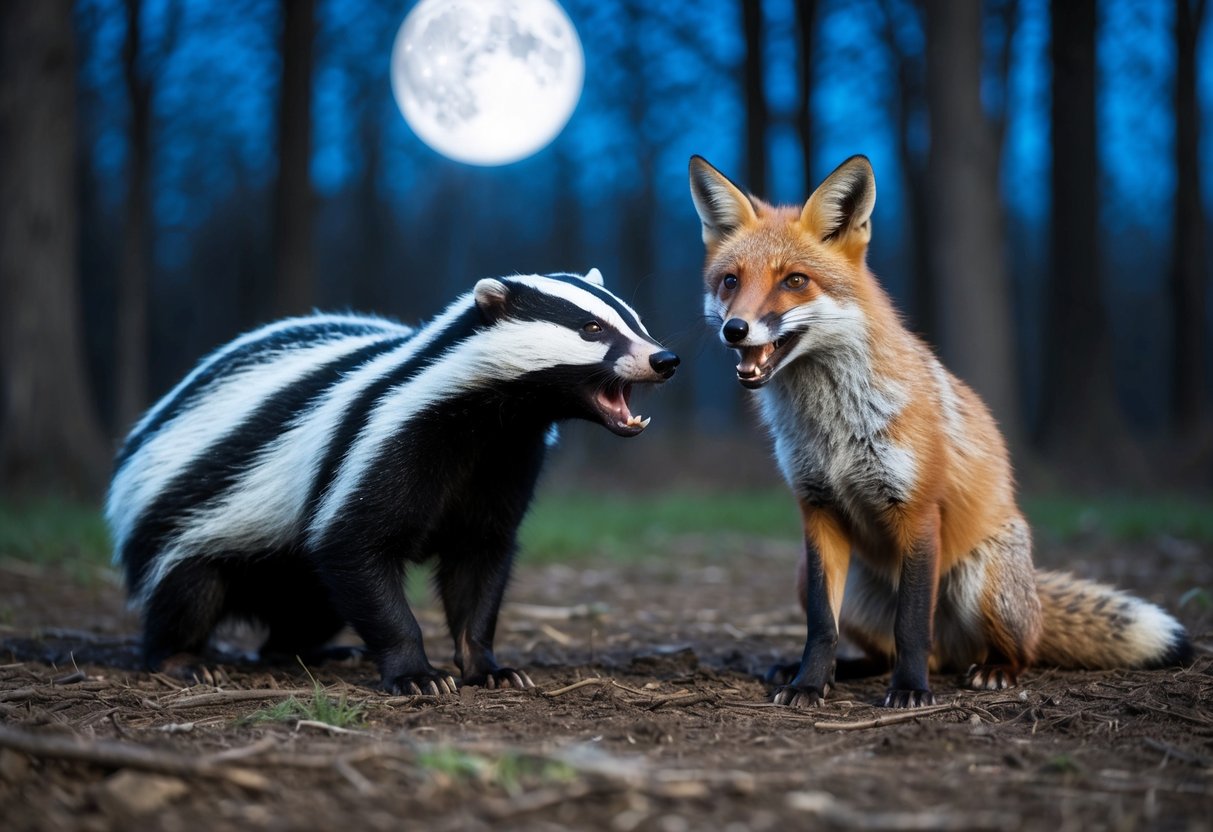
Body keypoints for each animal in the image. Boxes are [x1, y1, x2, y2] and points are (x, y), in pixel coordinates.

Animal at [688, 154, 1193, 708]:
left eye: (794, 281)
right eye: (730, 281)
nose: (734, 329)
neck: (834, 428)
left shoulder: (917, 510)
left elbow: (912, 624)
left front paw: (909, 691)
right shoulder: (816, 509)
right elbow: (822, 625)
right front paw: (808, 683)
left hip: (981, 583)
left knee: (1012, 650)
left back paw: (991, 670)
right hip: (819, 576)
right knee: (879, 651)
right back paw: (841, 671)